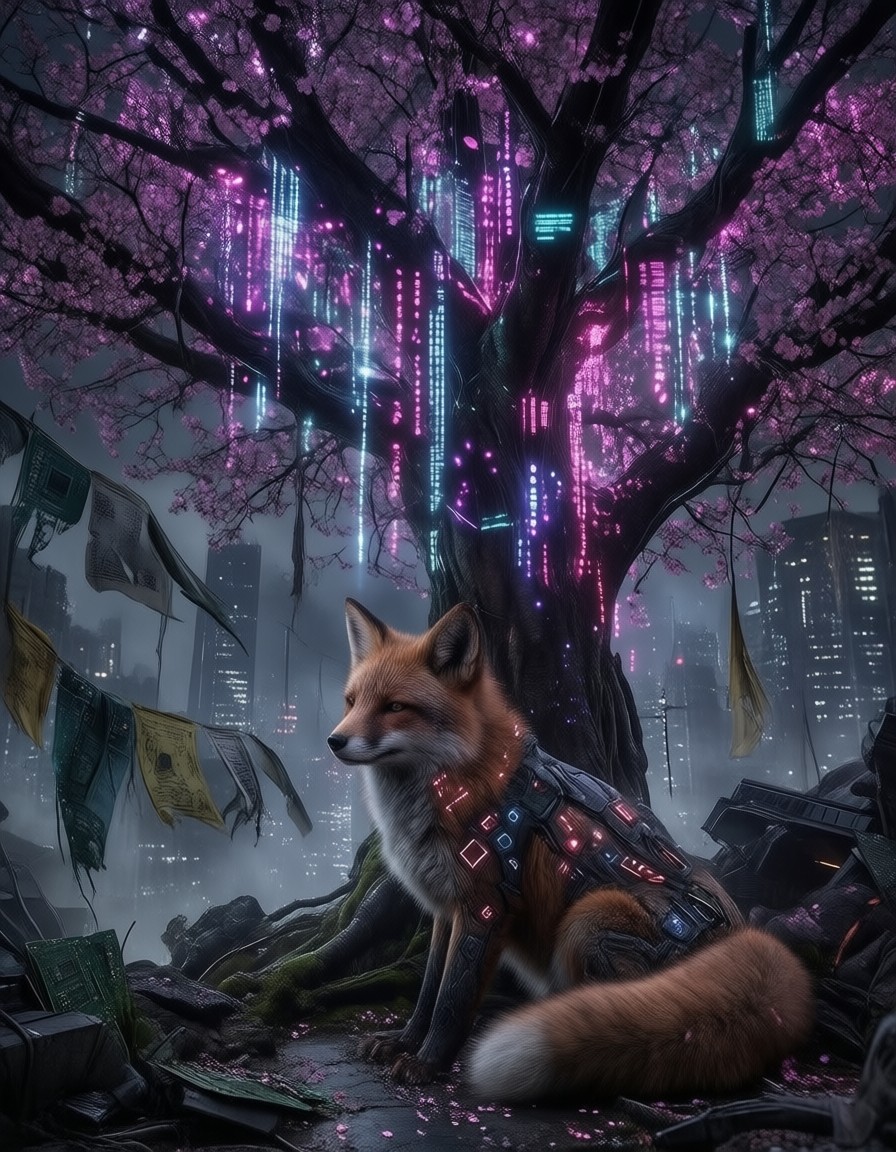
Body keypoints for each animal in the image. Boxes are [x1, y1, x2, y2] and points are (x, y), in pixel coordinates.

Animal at [327, 598, 814, 1101]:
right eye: (352, 701)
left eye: (395, 707)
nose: (334, 741)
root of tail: (737, 934)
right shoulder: (446, 908)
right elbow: (428, 992)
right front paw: (403, 1042)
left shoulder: (485, 907)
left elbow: (452, 999)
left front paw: (427, 1062)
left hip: (588, 919)